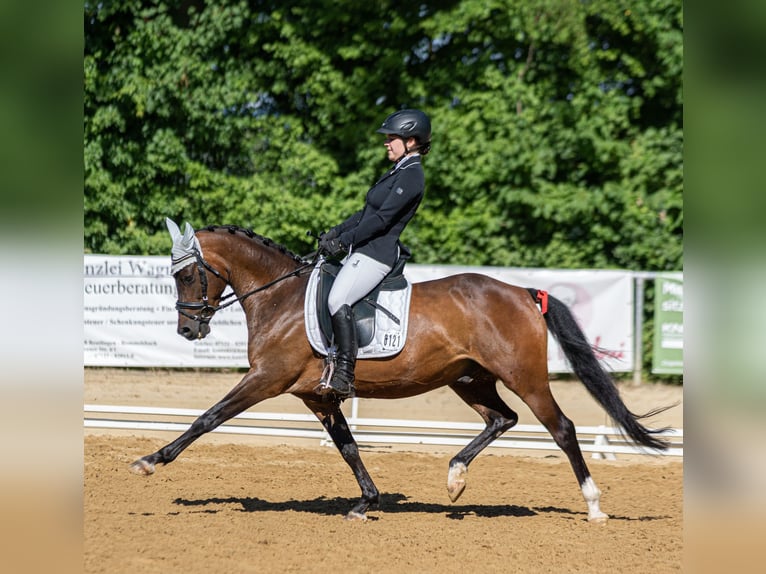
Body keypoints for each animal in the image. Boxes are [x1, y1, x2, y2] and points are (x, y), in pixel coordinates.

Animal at [132, 223, 672, 524]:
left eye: (186, 274)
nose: (187, 329)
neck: (279, 296)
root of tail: (523, 292)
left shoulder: (266, 378)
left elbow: (208, 418)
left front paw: (151, 460)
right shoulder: (318, 397)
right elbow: (348, 447)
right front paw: (366, 503)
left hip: (526, 378)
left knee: (562, 429)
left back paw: (595, 506)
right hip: (469, 378)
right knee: (502, 419)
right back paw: (455, 477)